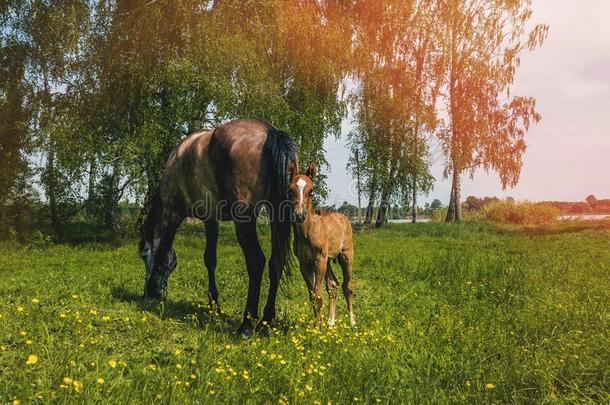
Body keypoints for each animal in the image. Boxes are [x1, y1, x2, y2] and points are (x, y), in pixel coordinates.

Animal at [140, 117, 296, 334]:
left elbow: (162, 250)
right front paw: (214, 305)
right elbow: (210, 259)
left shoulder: (172, 215)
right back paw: (266, 320)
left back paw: (246, 324)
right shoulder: (210, 220)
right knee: (276, 262)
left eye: (143, 255)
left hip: (244, 220)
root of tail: (270, 132)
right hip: (275, 213)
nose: (146, 291)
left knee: (256, 261)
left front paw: (152, 292)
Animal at [288, 163, 354, 326]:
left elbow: (318, 296)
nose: (299, 215)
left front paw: (316, 328)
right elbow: (312, 295)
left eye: (311, 190)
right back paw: (330, 323)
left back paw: (352, 322)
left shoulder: (319, 260)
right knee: (333, 285)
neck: (307, 232)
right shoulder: (304, 263)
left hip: (345, 256)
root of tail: (344, 217)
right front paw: (316, 326)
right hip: (328, 260)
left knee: (347, 287)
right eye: (290, 189)